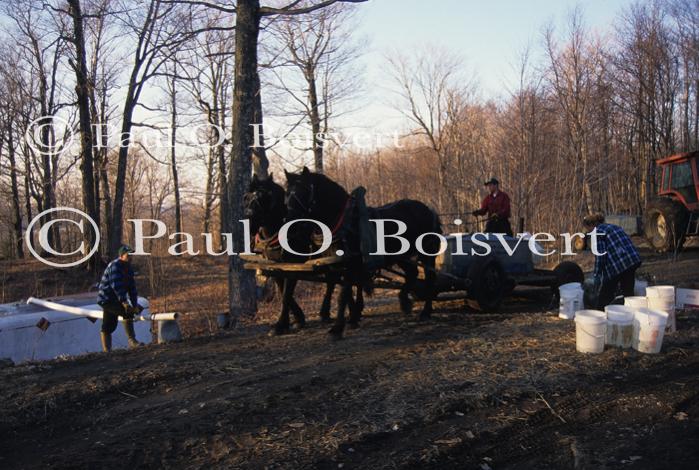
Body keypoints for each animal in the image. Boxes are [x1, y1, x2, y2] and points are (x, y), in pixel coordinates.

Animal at [245, 173, 364, 334]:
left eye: (263, 196)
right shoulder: (275, 267)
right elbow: (283, 292)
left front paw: (281, 324)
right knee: (335, 280)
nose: (249, 223)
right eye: (246, 197)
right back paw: (334, 313)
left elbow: (286, 295)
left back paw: (354, 311)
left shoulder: (292, 266)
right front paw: (296, 319)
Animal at [286, 167, 442, 340]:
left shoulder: (350, 265)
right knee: (412, 273)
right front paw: (352, 318)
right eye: (287, 193)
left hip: (427, 253)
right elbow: (348, 292)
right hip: (402, 257)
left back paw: (425, 311)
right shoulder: (341, 267)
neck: (346, 224)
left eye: (305, 191)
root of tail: (428, 209)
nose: (289, 224)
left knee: (429, 278)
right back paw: (404, 301)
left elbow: (343, 295)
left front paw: (337, 328)